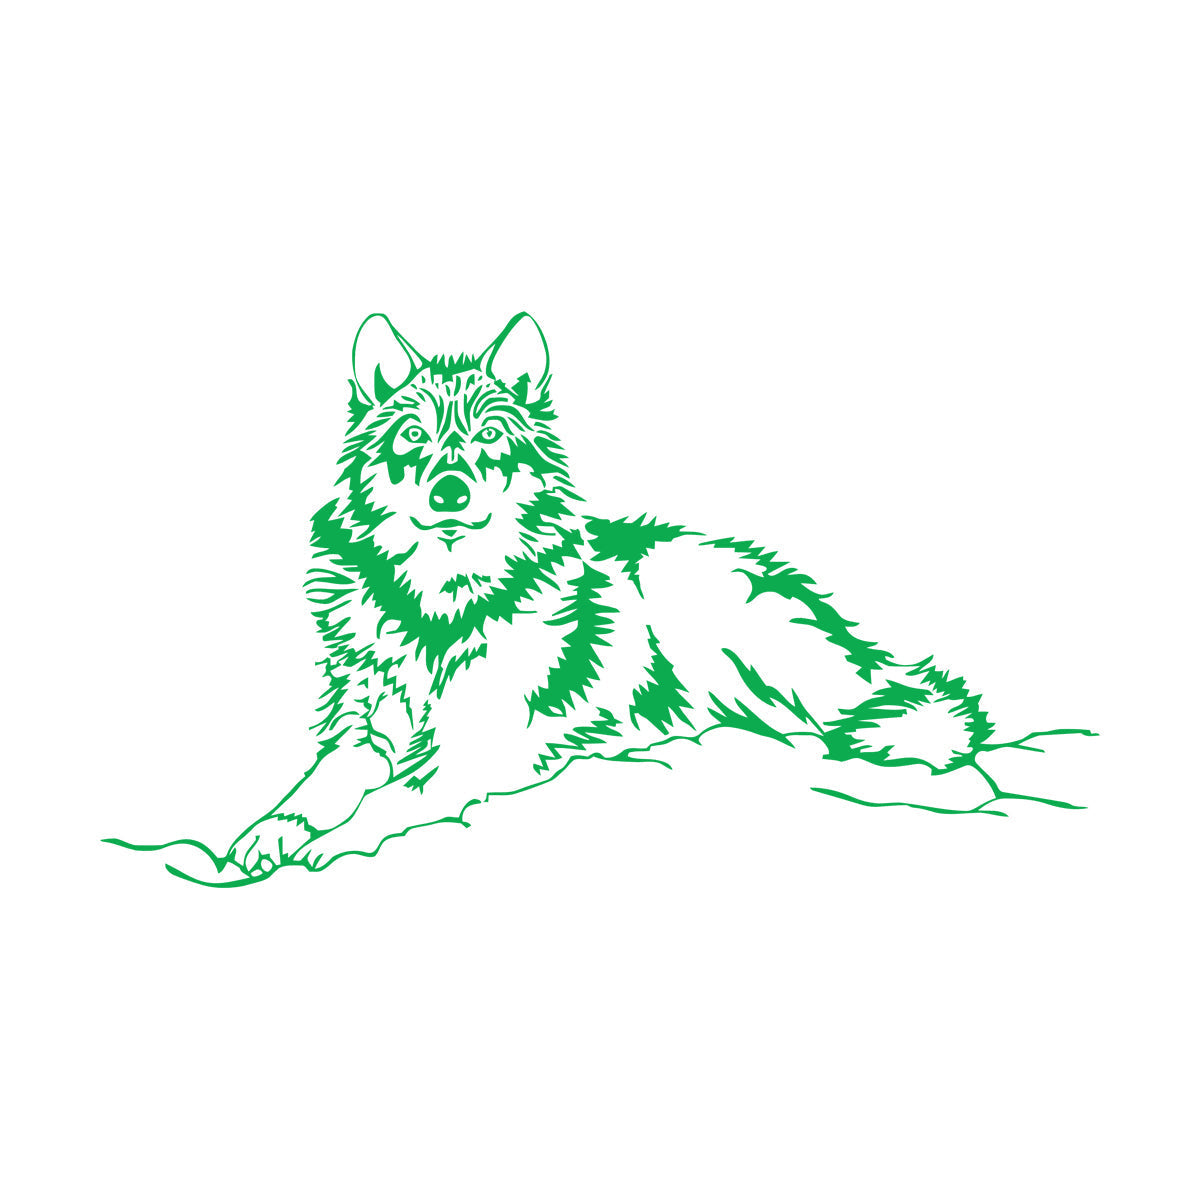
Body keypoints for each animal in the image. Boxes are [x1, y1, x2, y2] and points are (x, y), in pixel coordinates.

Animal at [121, 312, 1088, 882]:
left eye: (488, 442)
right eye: (413, 443)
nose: (448, 490)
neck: (438, 605)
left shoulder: (472, 753)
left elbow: (388, 805)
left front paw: (324, 846)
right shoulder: (362, 730)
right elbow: (314, 787)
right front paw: (267, 833)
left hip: (747, 638)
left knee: (872, 719)